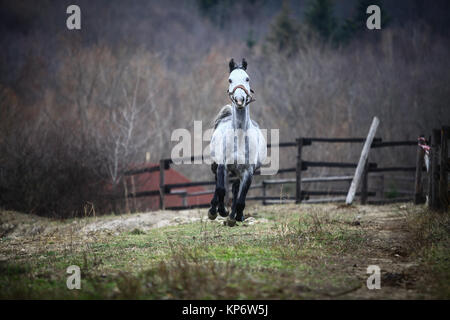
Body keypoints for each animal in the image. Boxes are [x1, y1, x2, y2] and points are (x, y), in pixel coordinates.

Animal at [208, 58, 268, 228]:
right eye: (230, 79)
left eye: (247, 78)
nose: (240, 100)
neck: (240, 138)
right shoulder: (222, 165)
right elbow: (221, 189)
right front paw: (220, 211)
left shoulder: (248, 171)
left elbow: (241, 197)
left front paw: (236, 216)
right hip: (218, 166)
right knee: (218, 185)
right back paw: (214, 210)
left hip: (237, 173)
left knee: (235, 190)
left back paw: (234, 216)